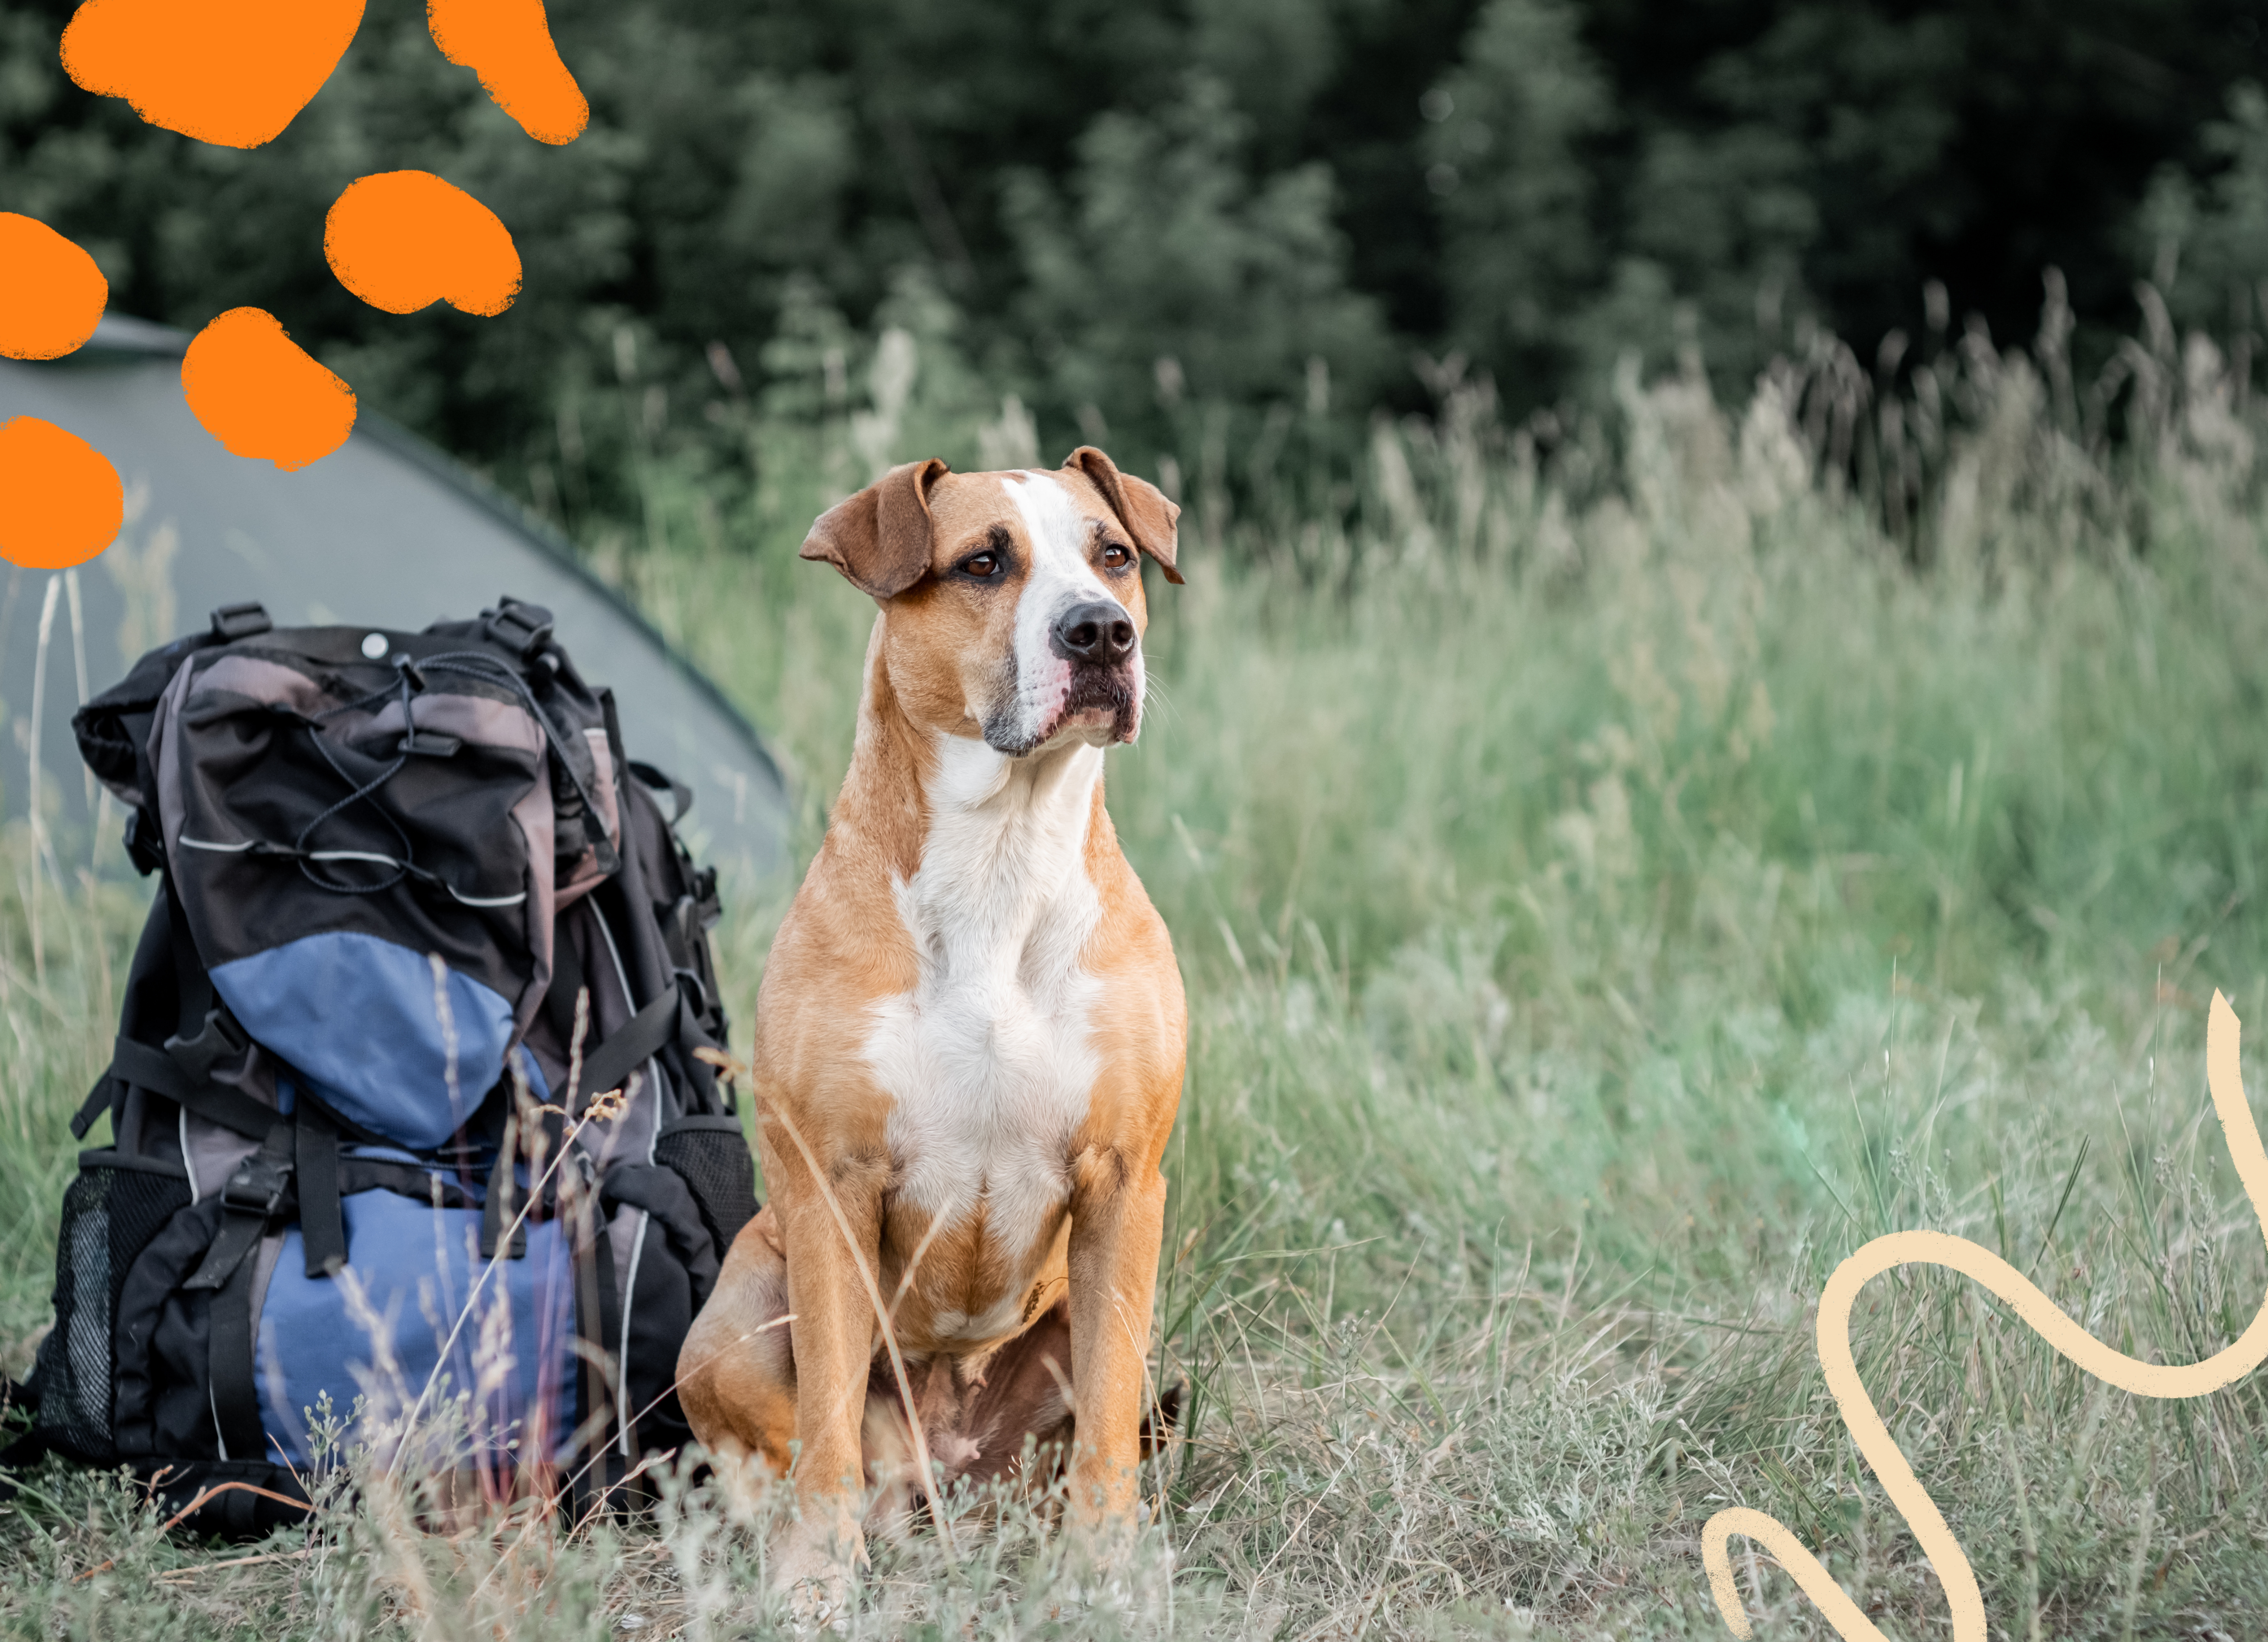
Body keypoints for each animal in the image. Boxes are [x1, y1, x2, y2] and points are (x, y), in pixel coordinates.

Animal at [676, 447, 1188, 1605]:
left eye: (1114, 555)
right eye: (983, 562)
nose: (1100, 632)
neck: (1002, 851)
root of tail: (942, 1466)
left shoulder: (1124, 1184)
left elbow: (1106, 1425)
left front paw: (1105, 1574)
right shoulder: (832, 1186)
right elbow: (825, 1423)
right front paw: (815, 1584)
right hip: (732, 1316)